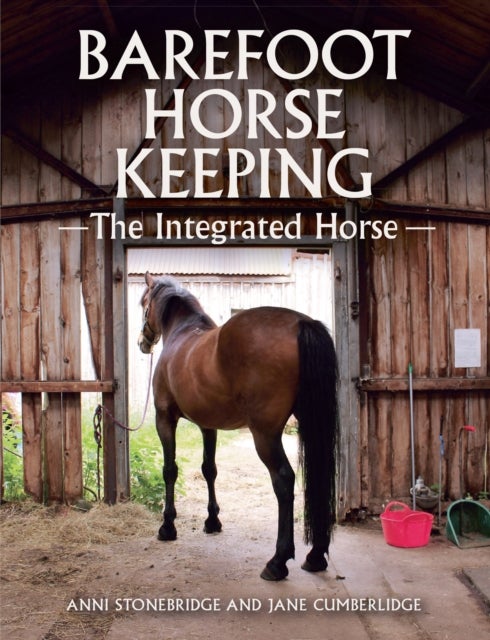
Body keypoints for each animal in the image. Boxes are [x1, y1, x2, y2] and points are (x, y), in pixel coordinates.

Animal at [138, 272, 338, 581]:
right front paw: (212, 521)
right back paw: (315, 556)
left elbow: (169, 470)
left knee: (283, 480)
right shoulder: (208, 426)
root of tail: (302, 324)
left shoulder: (165, 418)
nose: (143, 342)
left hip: (265, 434)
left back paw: (277, 562)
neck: (182, 333)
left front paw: (167, 527)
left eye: (143, 303)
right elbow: (209, 469)